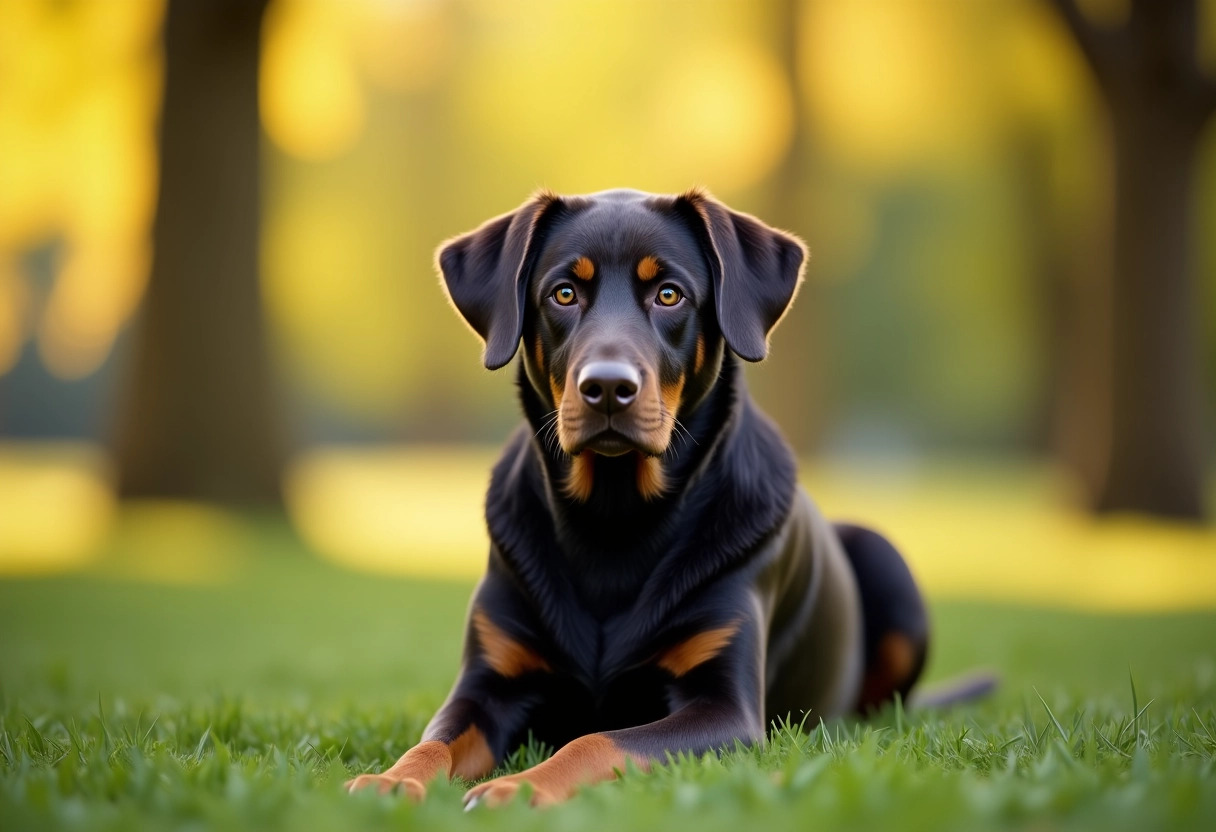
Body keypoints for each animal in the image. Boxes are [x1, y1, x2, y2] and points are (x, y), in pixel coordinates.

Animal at [342, 187, 929, 807]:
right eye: (564, 293)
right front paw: (391, 780)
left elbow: (596, 740)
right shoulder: (488, 682)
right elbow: (433, 739)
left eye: (669, 294)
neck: (614, 519)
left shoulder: (725, 707)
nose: (606, 387)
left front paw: (518, 789)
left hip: (885, 558)